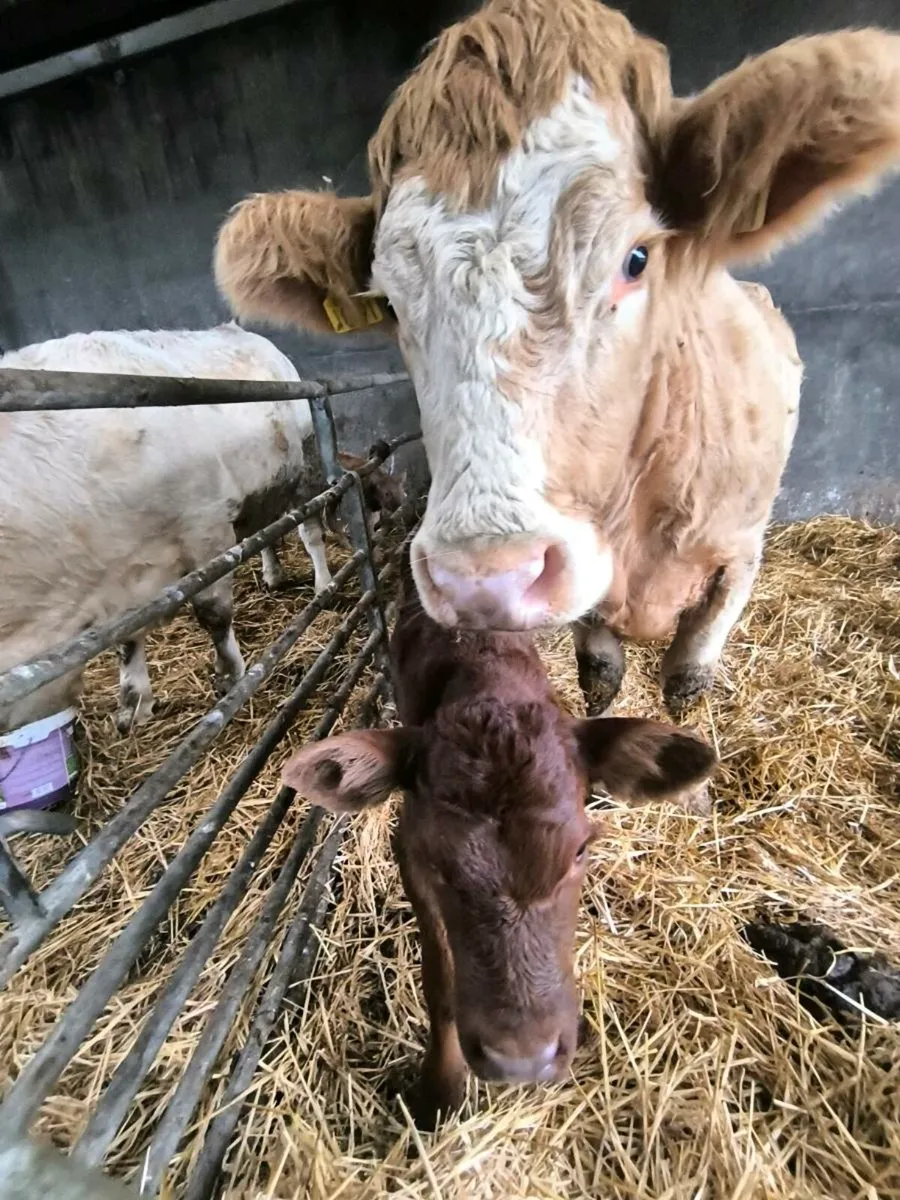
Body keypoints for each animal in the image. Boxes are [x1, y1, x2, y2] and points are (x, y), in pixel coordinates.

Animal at [0, 324, 402, 734]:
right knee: (266, 534)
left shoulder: (206, 530)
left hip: (301, 475)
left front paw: (230, 675)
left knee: (310, 535)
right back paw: (273, 574)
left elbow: (214, 613)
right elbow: (127, 639)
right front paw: (135, 700)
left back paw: (322, 583)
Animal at [214, 0, 900, 716]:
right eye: (392, 305)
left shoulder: (737, 563)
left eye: (636, 259)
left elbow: (686, 684)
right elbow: (600, 675)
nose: (482, 580)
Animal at [281, 540, 717, 1124]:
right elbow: (440, 980)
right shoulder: (408, 851)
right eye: (437, 859)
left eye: (580, 851)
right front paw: (438, 1092)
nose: (523, 1060)